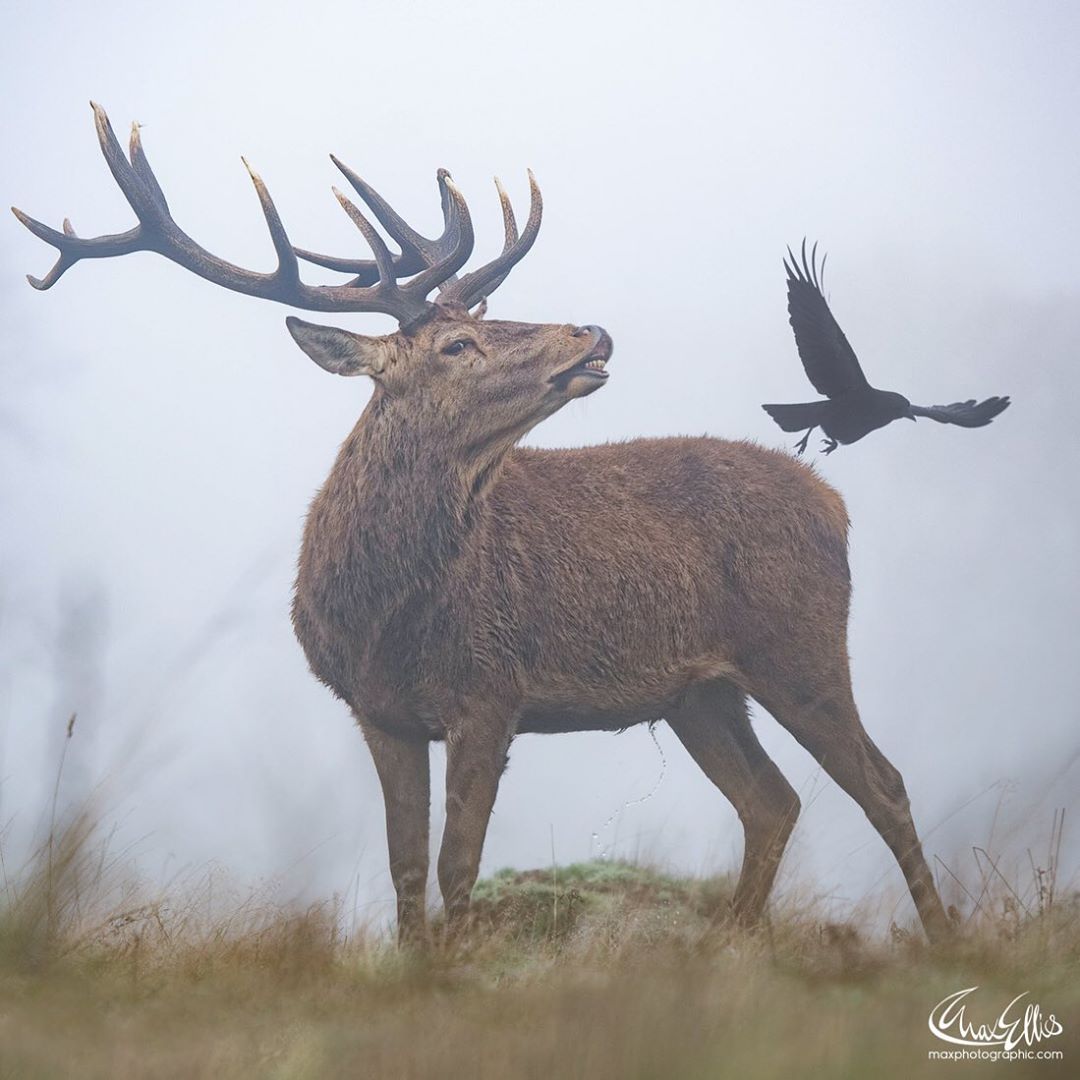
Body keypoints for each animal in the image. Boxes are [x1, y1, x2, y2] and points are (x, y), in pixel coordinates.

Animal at [12, 105, 950, 941]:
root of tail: (835, 505)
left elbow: (455, 863)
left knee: (883, 783)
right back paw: (730, 944)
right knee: (773, 801)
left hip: (798, 645)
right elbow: (403, 865)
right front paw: (416, 968)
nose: (591, 330)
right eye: (456, 345)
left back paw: (941, 940)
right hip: (702, 692)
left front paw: (455, 973)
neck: (382, 612)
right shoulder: (380, 711)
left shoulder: (492, 689)